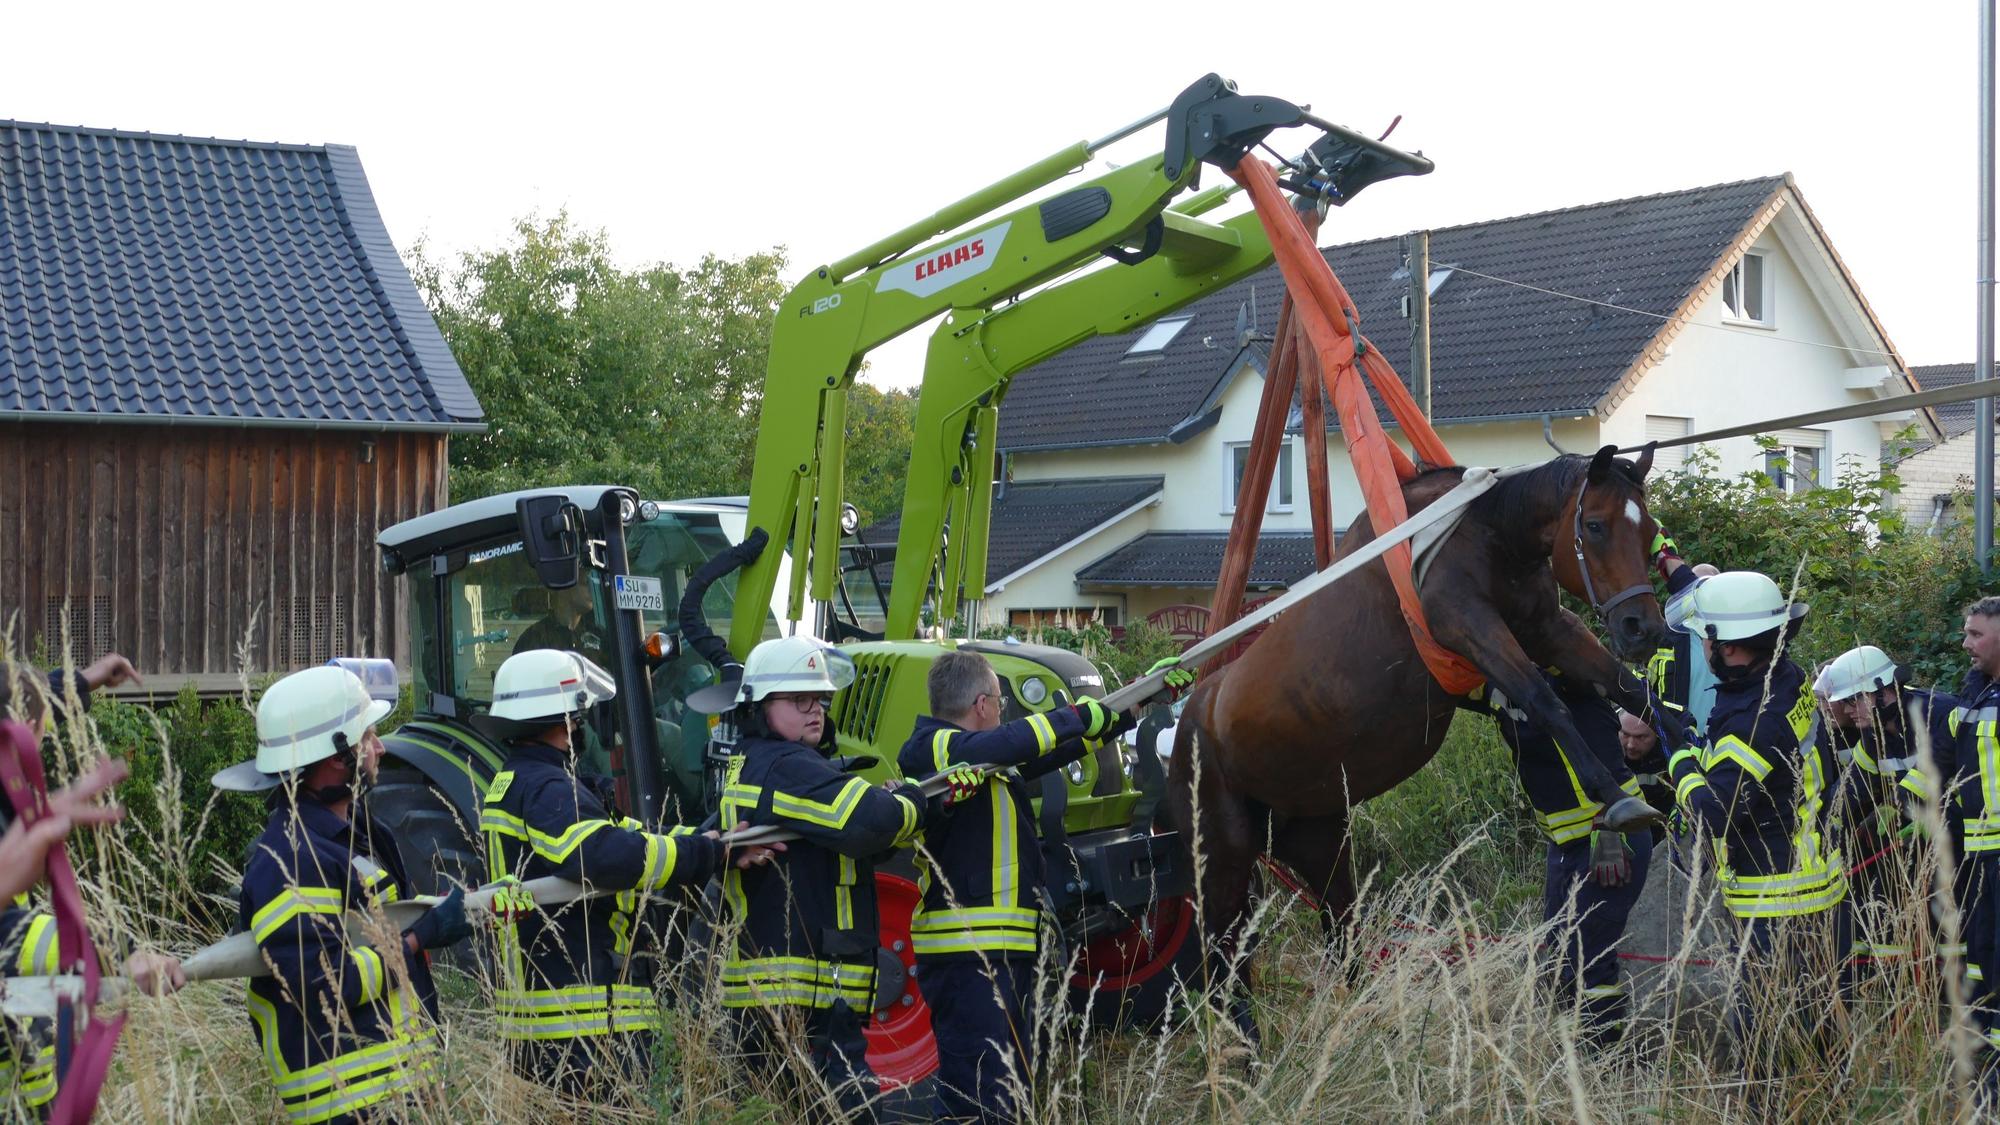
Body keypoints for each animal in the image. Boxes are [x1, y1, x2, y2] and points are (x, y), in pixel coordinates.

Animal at [1164, 444, 1669, 1037]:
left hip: (1320, 845)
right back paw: (1245, 1046)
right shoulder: (1471, 626)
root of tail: (1187, 719)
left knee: (1337, 933)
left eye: (1650, 531)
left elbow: (1630, 689)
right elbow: (1548, 702)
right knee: (1221, 959)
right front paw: (1616, 797)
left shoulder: (1549, 629)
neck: (1483, 530)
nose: (1642, 627)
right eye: (1594, 525)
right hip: (1221, 860)